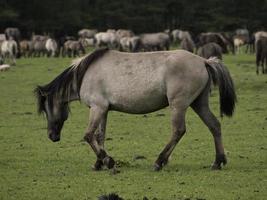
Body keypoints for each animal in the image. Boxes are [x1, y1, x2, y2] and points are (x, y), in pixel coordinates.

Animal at [35, 47, 237, 171]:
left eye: (46, 109)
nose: (52, 136)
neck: (85, 74)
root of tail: (204, 61)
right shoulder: (104, 110)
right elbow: (99, 136)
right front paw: (99, 163)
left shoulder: (97, 108)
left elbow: (88, 135)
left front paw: (108, 161)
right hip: (199, 104)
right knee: (214, 125)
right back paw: (218, 162)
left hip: (178, 105)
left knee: (178, 131)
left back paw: (159, 162)